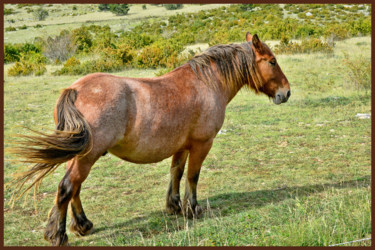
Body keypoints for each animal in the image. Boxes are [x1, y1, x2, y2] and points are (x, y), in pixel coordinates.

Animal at [8, 31, 290, 246]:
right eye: (272, 61)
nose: (286, 93)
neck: (207, 83)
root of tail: (75, 89)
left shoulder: (182, 146)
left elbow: (176, 173)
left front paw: (174, 207)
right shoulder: (201, 144)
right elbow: (193, 176)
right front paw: (193, 209)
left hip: (81, 154)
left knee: (74, 188)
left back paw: (82, 225)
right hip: (87, 156)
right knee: (67, 187)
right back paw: (58, 234)